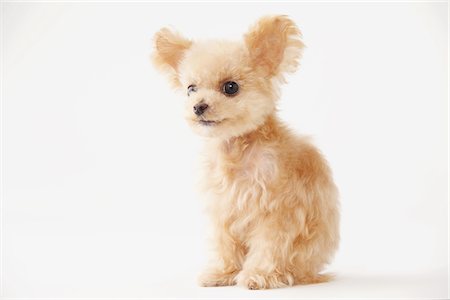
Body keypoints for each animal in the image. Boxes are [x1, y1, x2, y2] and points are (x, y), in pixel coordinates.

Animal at [153, 15, 340, 290]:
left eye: (231, 87)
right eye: (191, 89)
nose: (198, 106)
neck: (237, 151)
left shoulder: (276, 214)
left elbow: (269, 248)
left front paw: (257, 276)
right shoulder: (224, 213)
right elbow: (225, 247)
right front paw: (222, 273)